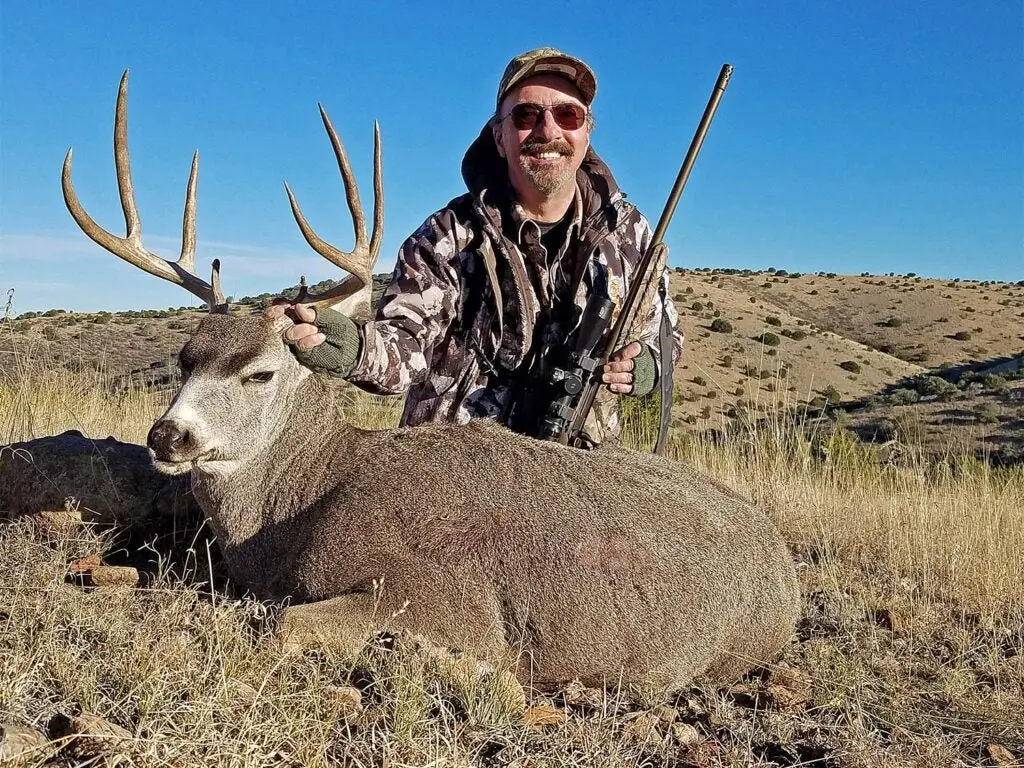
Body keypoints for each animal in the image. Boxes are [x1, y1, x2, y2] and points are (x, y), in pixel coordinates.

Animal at [61, 73, 798, 696]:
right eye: (186, 357)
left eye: (260, 371)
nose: (168, 435)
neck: (301, 508)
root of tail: (783, 562)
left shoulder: (446, 597)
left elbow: (283, 623)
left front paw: (471, 673)